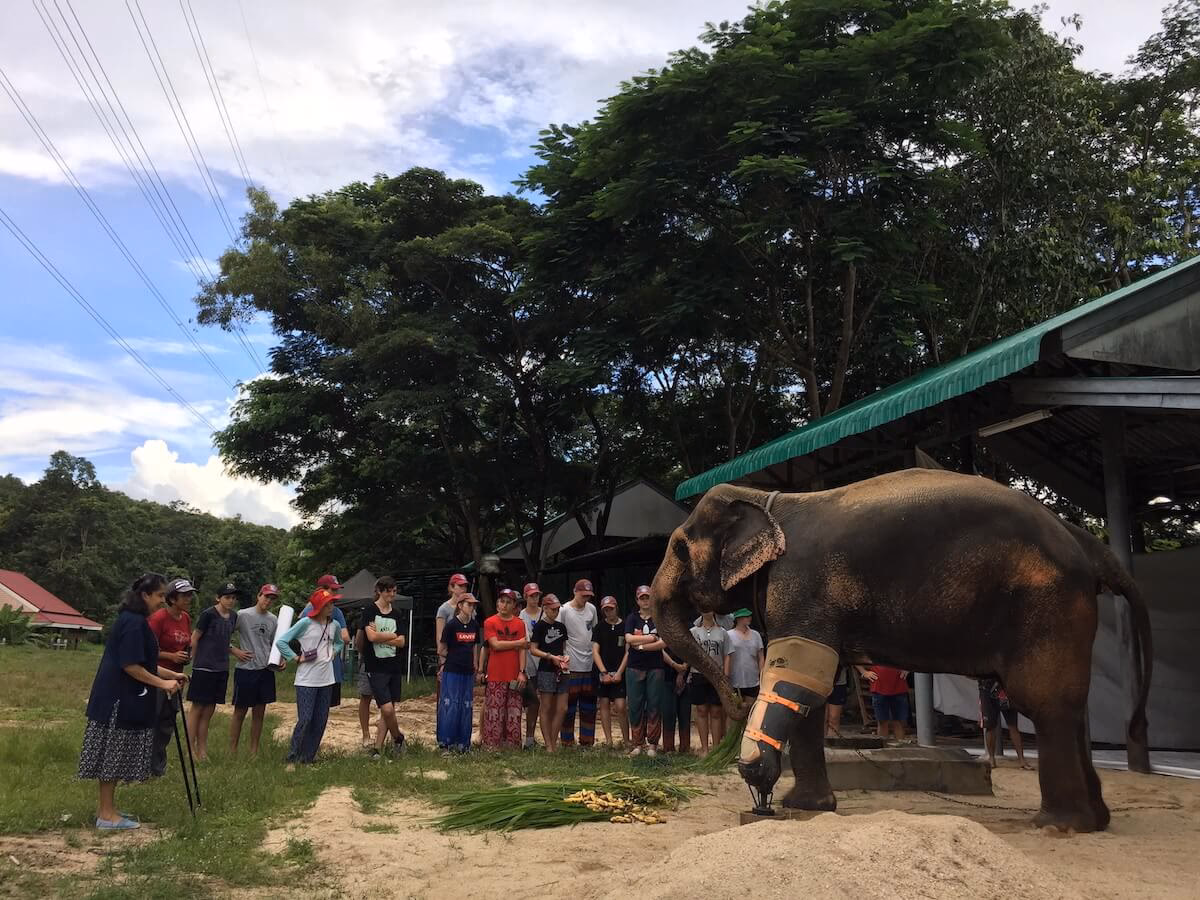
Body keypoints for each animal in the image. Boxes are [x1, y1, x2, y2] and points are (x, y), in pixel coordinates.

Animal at [650, 468, 1152, 833]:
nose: (738, 701)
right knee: (1071, 705)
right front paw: (805, 807)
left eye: (679, 548)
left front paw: (760, 778)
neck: (770, 499)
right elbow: (814, 688)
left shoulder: (800, 583)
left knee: (1046, 702)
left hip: (1046, 604)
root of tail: (1087, 544)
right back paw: (1094, 822)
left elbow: (799, 676)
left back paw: (1058, 826)